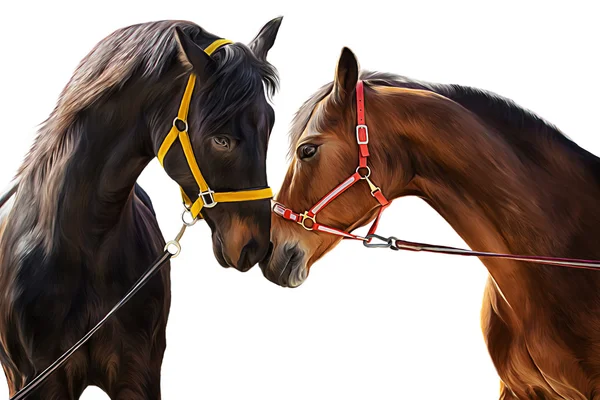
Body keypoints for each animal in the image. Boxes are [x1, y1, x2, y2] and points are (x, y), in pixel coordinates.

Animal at [0, 18, 282, 400]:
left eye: (269, 127)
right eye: (221, 140)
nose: (256, 246)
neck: (84, 246)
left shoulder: (138, 375)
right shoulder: (38, 381)